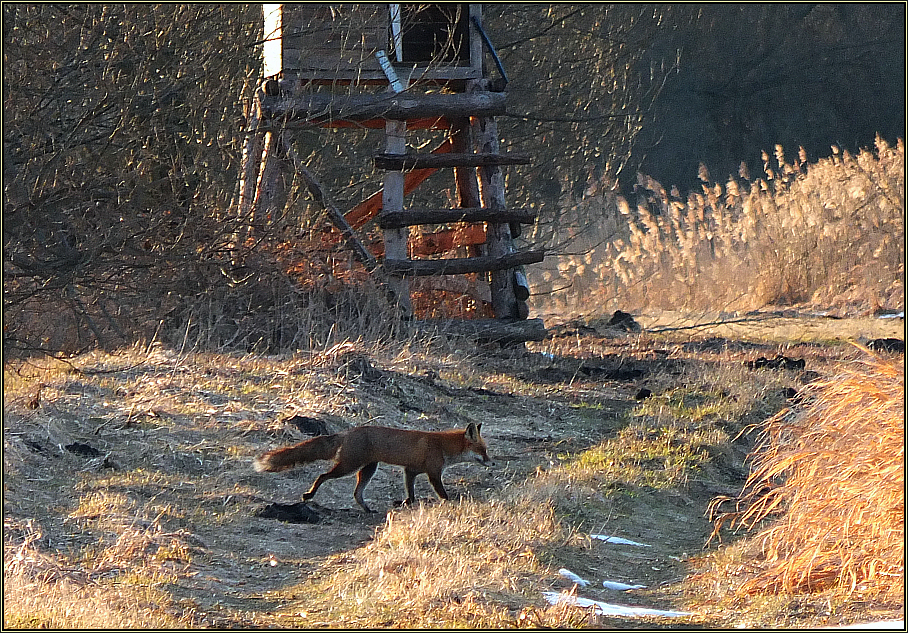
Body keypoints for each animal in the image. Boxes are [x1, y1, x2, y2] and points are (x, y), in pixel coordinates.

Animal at [255, 422, 494, 512]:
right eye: (483, 450)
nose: (492, 463)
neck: (443, 446)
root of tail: (348, 432)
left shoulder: (410, 470)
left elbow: (411, 494)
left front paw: (405, 503)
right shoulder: (433, 473)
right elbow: (443, 494)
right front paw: (452, 504)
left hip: (368, 469)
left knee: (356, 493)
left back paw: (367, 509)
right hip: (349, 466)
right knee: (322, 475)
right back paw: (309, 495)